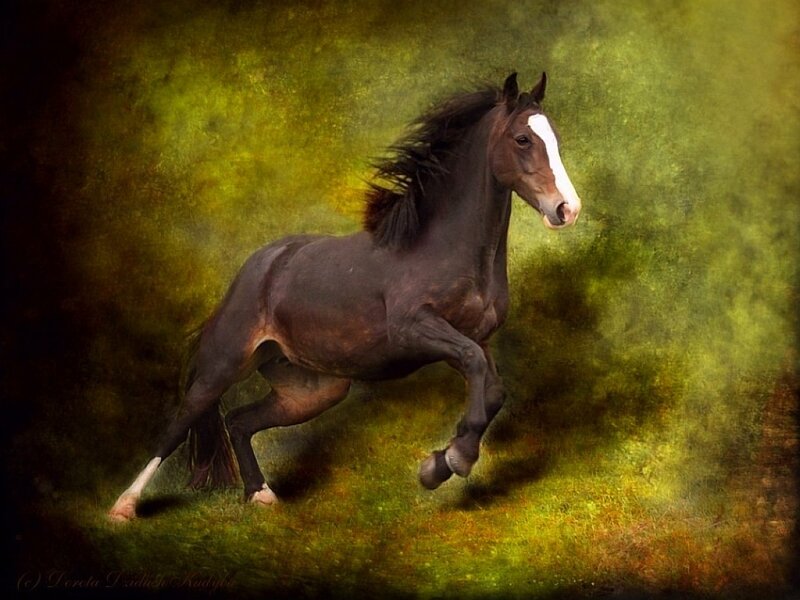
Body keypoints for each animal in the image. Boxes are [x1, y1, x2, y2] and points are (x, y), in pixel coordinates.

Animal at [109, 71, 582, 521]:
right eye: (522, 139)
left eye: (555, 138)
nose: (567, 209)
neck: (439, 246)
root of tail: (252, 271)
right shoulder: (416, 329)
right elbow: (475, 368)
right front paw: (452, 460)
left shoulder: (475, 337)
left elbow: (492, 387)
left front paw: (440, 464)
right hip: (223, 365)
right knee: (179, 424)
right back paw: (124, 508)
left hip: (313, 389)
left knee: (238, 421)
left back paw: (261, 496)